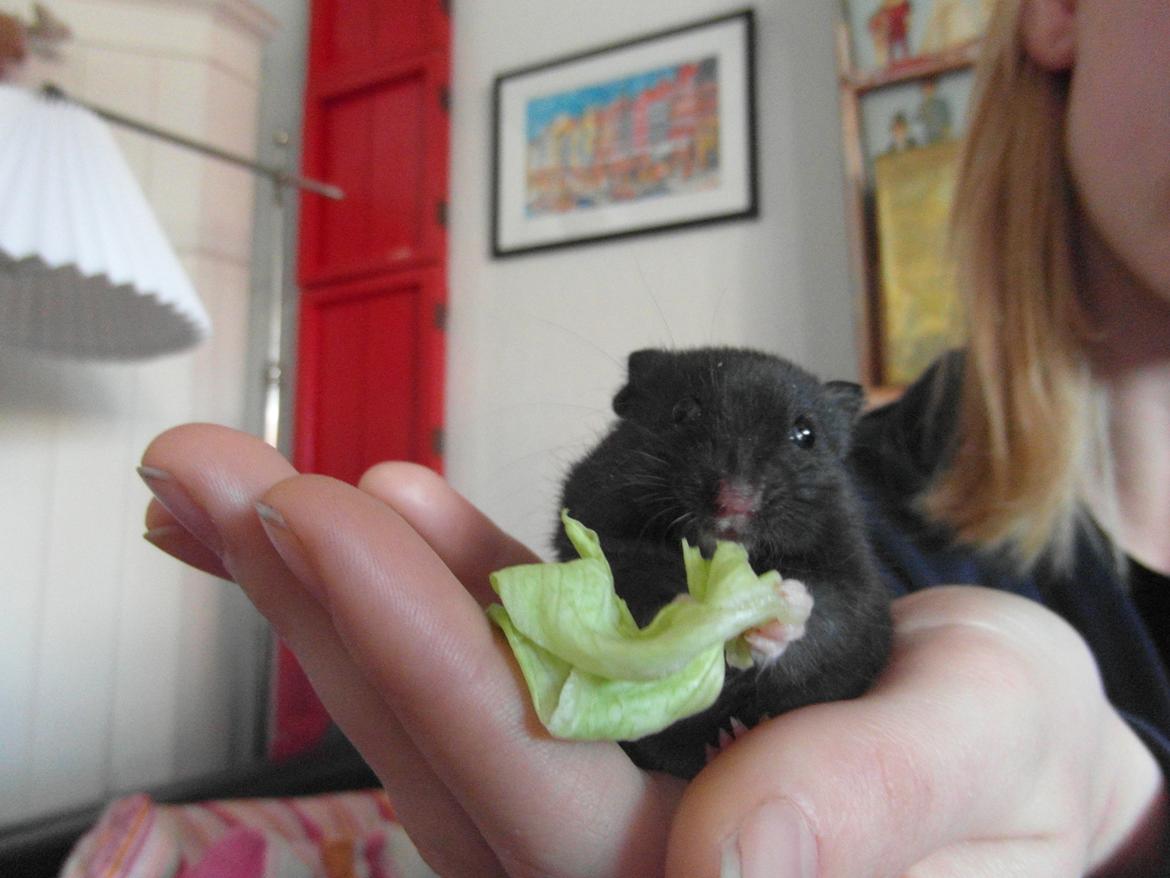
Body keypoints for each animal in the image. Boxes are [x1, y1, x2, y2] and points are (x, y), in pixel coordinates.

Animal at [554, 347, 892, 779]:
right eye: (683, 411)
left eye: (806, 435)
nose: (736, 501)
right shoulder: (600, 529)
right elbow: (632, 586)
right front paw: (692, 615)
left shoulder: (854, 581)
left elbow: (828, 619)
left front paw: (774, 612)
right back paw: (723, 741)